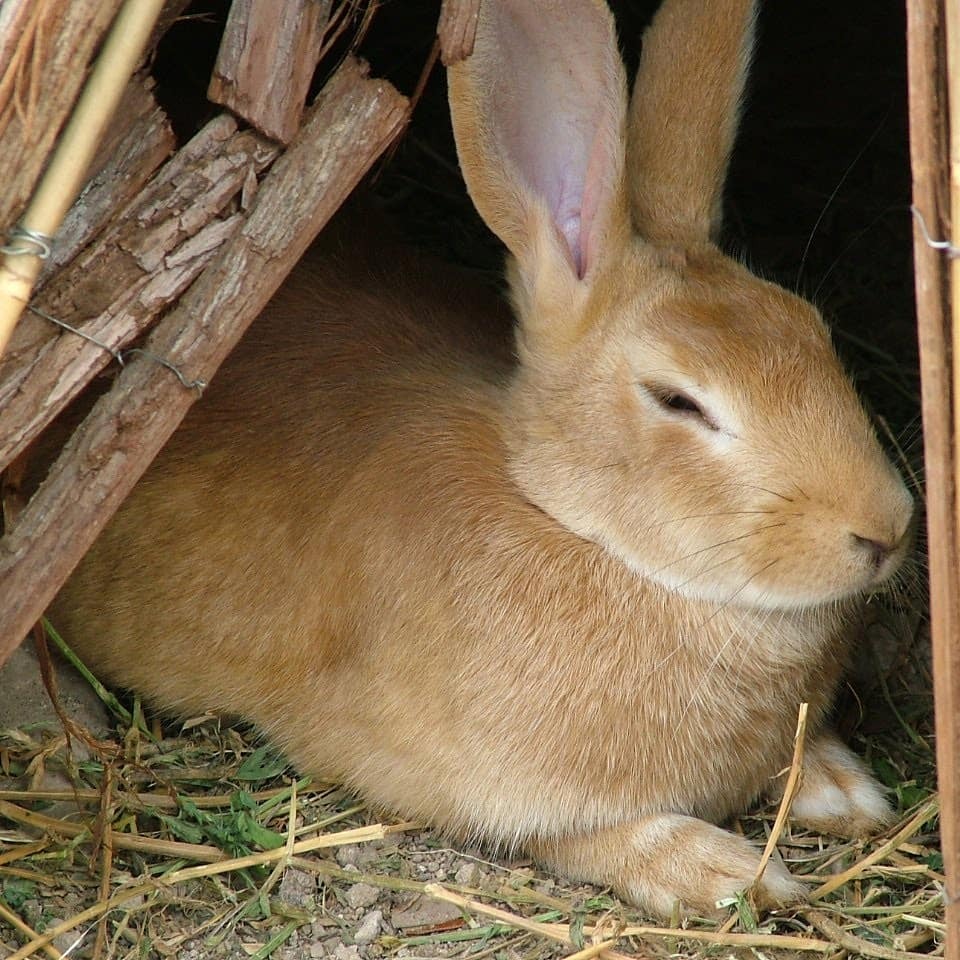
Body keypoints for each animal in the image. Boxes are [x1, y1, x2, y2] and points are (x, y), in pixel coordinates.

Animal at [50, 0, 914, 919]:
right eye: (678, 401)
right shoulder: (480, 789)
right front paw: (731, 874)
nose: (886, 530)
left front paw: (842, 788)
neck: (574, 526)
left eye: (816, 331)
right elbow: (596, 836)